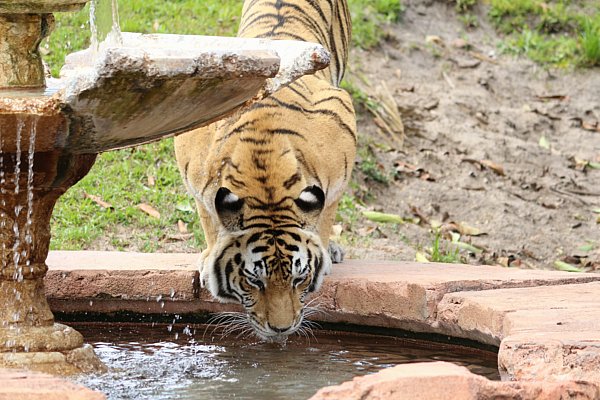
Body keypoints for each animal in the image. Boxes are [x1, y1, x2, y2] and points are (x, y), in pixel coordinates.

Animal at [176, 0, 358, 340]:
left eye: (299, 279)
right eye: (254, 281)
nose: (281, 329)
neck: (265, 179)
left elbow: (326, 215)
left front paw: (325, 253)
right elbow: (208, 218)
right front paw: (208, 258)